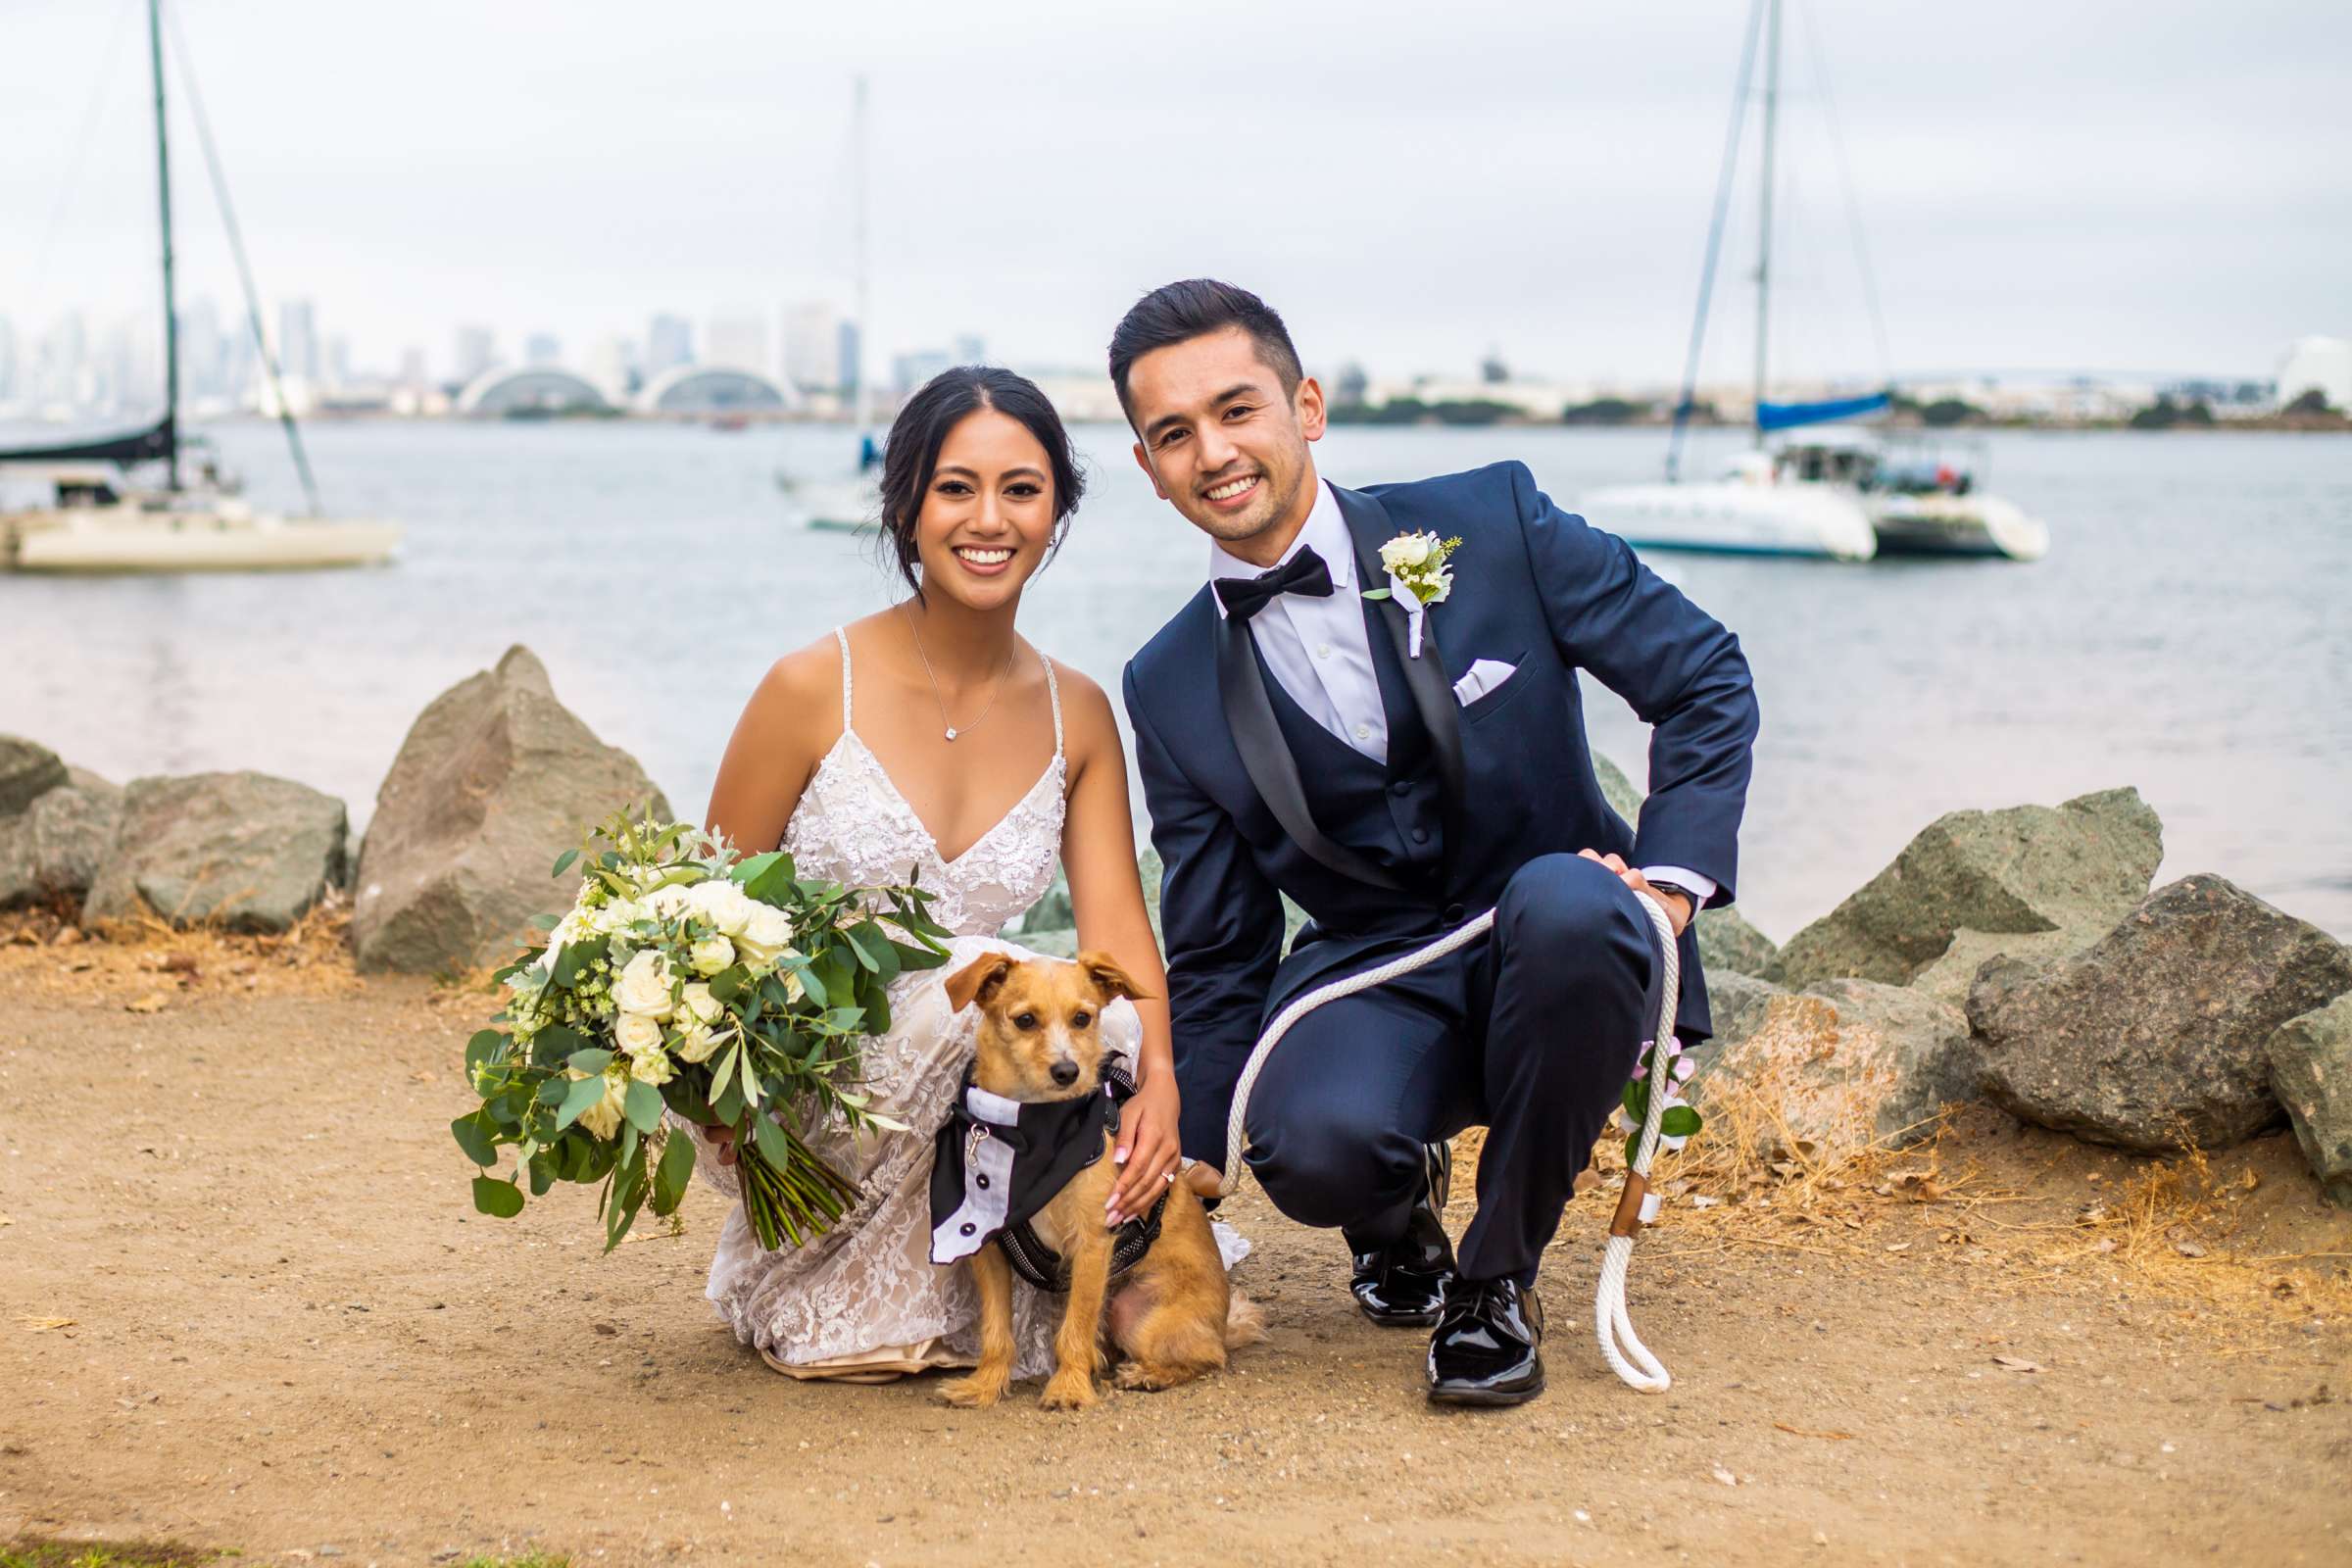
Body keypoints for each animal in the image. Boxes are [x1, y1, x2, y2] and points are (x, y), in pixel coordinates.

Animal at [936, 950, 1270, 1419]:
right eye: (1025, 1020)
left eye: (1083, 1018)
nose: (1066, 1070)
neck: (1034, 1130)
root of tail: (1221, 1323)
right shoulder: (989, 1249)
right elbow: (997, 1330)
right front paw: (985, 1385)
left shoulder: (1092, 1241)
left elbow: (1075, 1328)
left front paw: (1069, 1388)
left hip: (1144, 1317)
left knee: (1207, 1356)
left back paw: (1147, 1373)